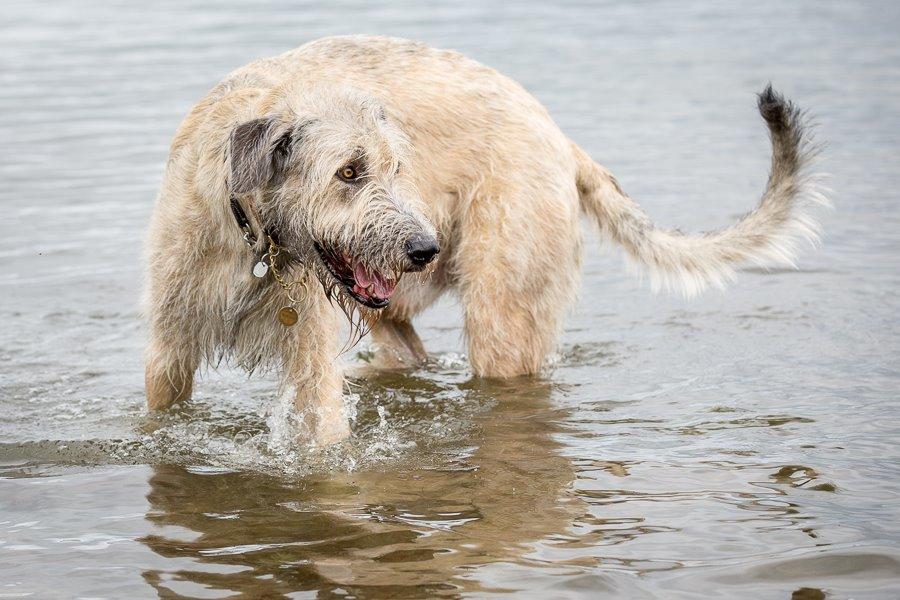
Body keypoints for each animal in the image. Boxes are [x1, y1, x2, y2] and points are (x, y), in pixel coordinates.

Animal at [144, 34, 828, 446]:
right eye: (349, 172)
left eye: (396, 167)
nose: (423, 250)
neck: (255, 243)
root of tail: (559, 137)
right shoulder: (169, 345)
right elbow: (163, 395)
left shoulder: (310, 357)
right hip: (396, 302)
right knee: (406, 351)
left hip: (503, 309)